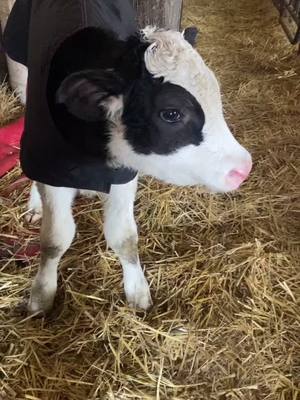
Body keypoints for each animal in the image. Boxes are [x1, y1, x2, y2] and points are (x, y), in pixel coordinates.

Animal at [5, 0, 252, 314]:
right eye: (171, 113)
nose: (243, 168)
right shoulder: (52, 170)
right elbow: (55, 239)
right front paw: (41, 295)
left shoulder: (123, 175)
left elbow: (124, 237)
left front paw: (137, 291)